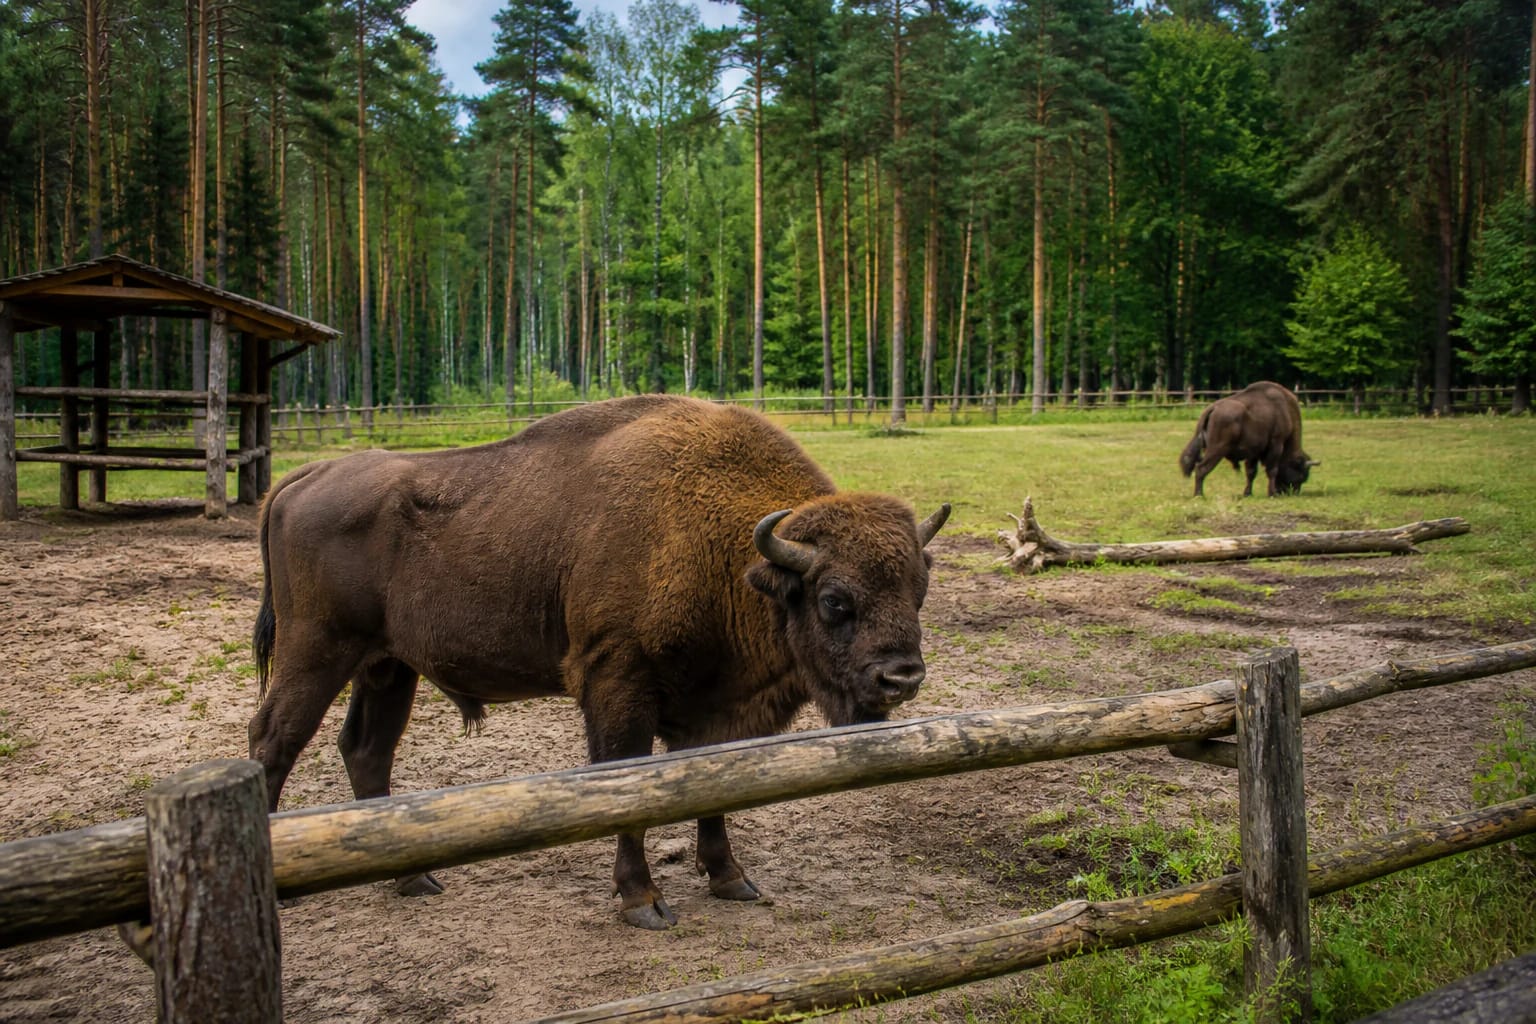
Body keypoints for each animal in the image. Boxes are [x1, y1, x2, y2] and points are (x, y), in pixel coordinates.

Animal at [249, 394, 950, 929]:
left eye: (919, 587)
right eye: (835, 600)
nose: (902, 677)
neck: (734, 557)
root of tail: (305, 475)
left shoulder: (717, 709)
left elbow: (714, 789)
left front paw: (730, 879)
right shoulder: (618, 683)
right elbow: (626, 783)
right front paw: (643, 902)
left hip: (389, 666)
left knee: (366, 749)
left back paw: (416, 879)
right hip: (317, 649)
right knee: (274, 739)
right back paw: (286, 889)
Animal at [1178, 381, 1319, 497]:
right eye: (1301, 475)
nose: (1292, 493)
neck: (1285, 410)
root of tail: (1213, 408)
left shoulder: (1254, 452)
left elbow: (1251, 472)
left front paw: (1248, 493)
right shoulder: (1276, 444)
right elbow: (1272, 470)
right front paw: (1271, 494)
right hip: (1217, 449)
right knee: (1201, 468)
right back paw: (1199, 495)